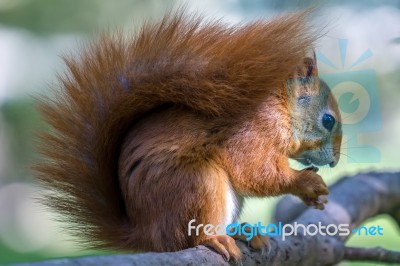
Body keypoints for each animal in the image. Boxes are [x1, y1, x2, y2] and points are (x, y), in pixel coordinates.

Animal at [34, 9, 342, 260]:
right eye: (328, 120)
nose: (336, 162)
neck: (280, 109)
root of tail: (146, 234)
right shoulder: (251, 132)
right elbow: (255, 172)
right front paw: (305, 183)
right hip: (197, 183)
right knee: (188, 237)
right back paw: (216, 238)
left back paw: (244, 232)